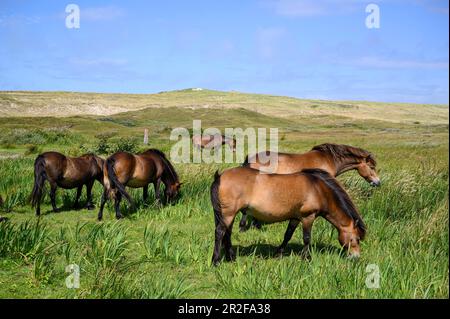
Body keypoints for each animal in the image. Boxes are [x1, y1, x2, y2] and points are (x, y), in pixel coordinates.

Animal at [210, 166, 366, 266]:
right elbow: (307, 238)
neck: (318, 189)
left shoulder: (295, 218)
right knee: (220, 233)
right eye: (357, 239)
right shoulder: (308, 217)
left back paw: (231, 258)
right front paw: (306, 258)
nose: (356, 257)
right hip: (228, 214)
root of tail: (220, 176)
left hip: (228, 215)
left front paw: (278, 253)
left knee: (227, 234)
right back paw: (216, 261)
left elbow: (287, 235)